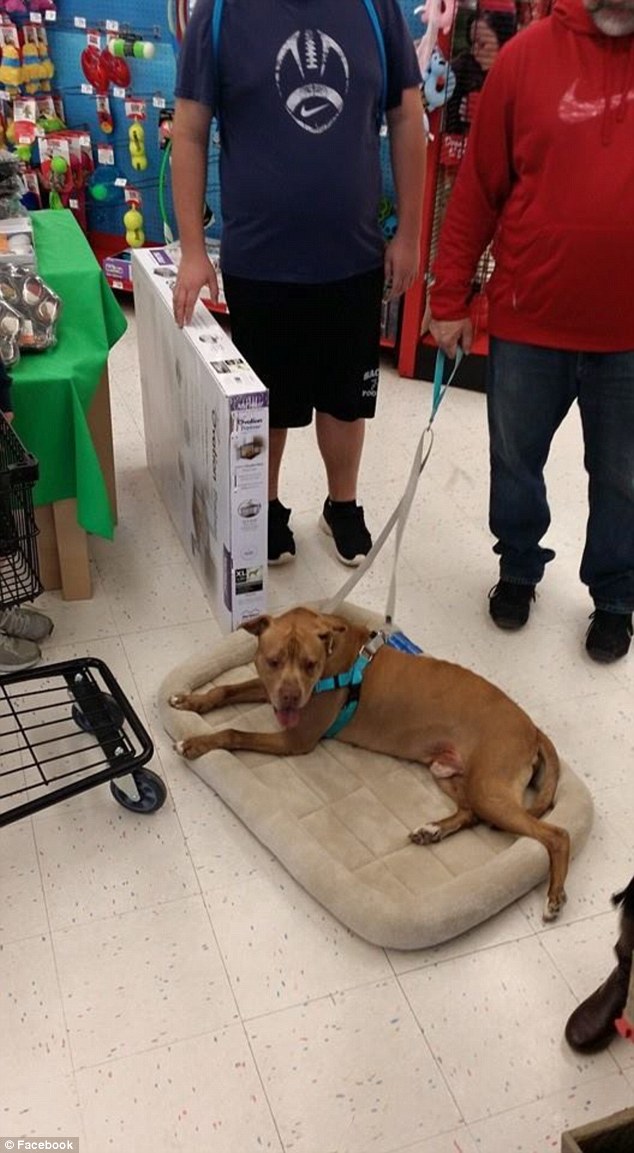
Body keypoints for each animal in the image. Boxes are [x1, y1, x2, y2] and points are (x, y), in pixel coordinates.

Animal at [172, 604, 571, 917]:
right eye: (273, 661)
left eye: (310, 664)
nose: (290, 697)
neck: (333, 652)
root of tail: (533, 728)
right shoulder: (267, 690)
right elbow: (227, 688)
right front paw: (191, 701)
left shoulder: (295, 739)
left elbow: (234, 733)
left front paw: (196, 742)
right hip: (450, 774)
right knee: (471, 811)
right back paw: (433, 830)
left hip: (490, 787)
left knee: (556, 834)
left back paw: (554, 896)